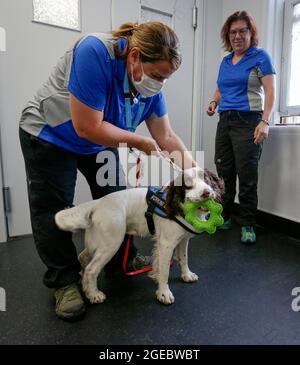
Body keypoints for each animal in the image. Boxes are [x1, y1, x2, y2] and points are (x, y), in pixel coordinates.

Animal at [54, 168, 223, 304]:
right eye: (188, 184)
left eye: (207, 179)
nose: (206, 192)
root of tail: (97, 203)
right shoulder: (166, 244)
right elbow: (165, 271)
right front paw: (163, 293)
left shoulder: (183, 240)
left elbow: (183, 258)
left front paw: (186, 275)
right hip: (111, 243)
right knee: (91, 269)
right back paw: (94, 295)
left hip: (96, 242)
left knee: (83, 257)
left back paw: (84, 284)